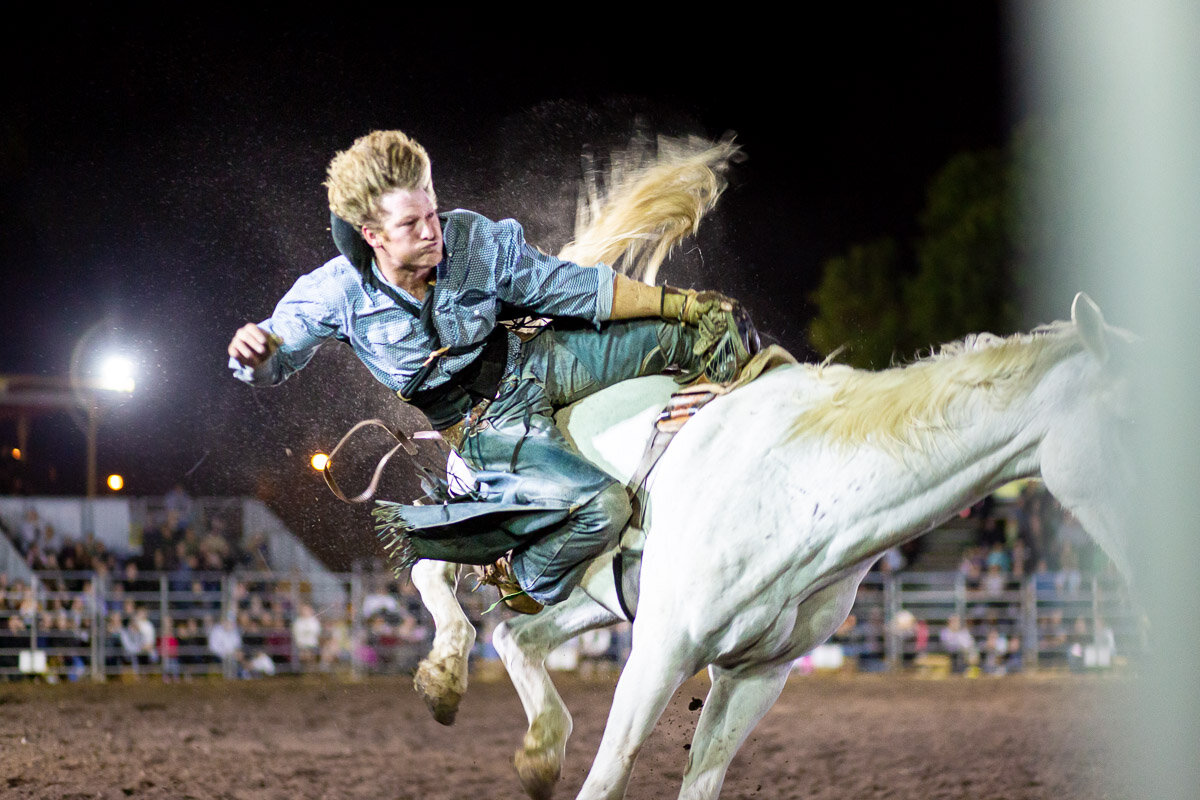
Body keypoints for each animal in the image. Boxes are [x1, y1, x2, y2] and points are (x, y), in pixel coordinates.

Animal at [408, 289, 1128, 800]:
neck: (801, 487)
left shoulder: (754, 676)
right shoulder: (660, 653)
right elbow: (610, 777)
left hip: (596, 593)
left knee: (515, 636)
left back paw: (536, 749)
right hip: (485, 524)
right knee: (428, 569)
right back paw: (443, 677)